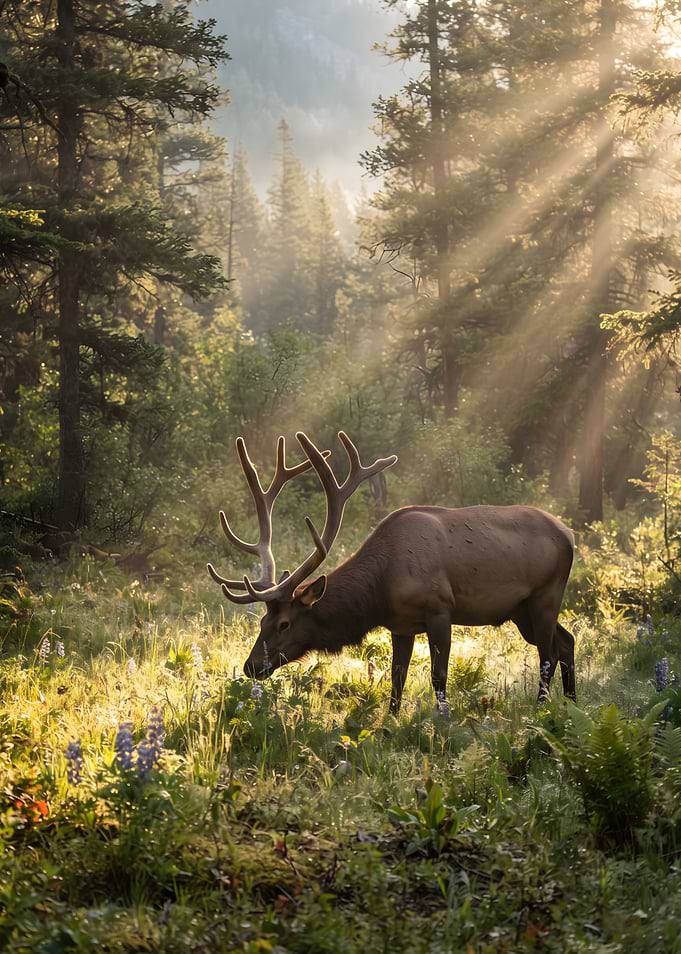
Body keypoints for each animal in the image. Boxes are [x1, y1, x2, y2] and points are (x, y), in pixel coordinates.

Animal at [207, 431, 576, 713]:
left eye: (284, 623)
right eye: (261, 622)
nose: (251, 665)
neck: (380, 592)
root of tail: (570, 534)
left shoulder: (440, 610)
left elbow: (438, 677)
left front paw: (442, 721)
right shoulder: (400, 626)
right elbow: (397, 680)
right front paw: (391, 722)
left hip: (546, 595)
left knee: (547, 655)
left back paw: (541, 709)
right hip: (521, 610)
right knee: (566, 641)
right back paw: (572, 703)